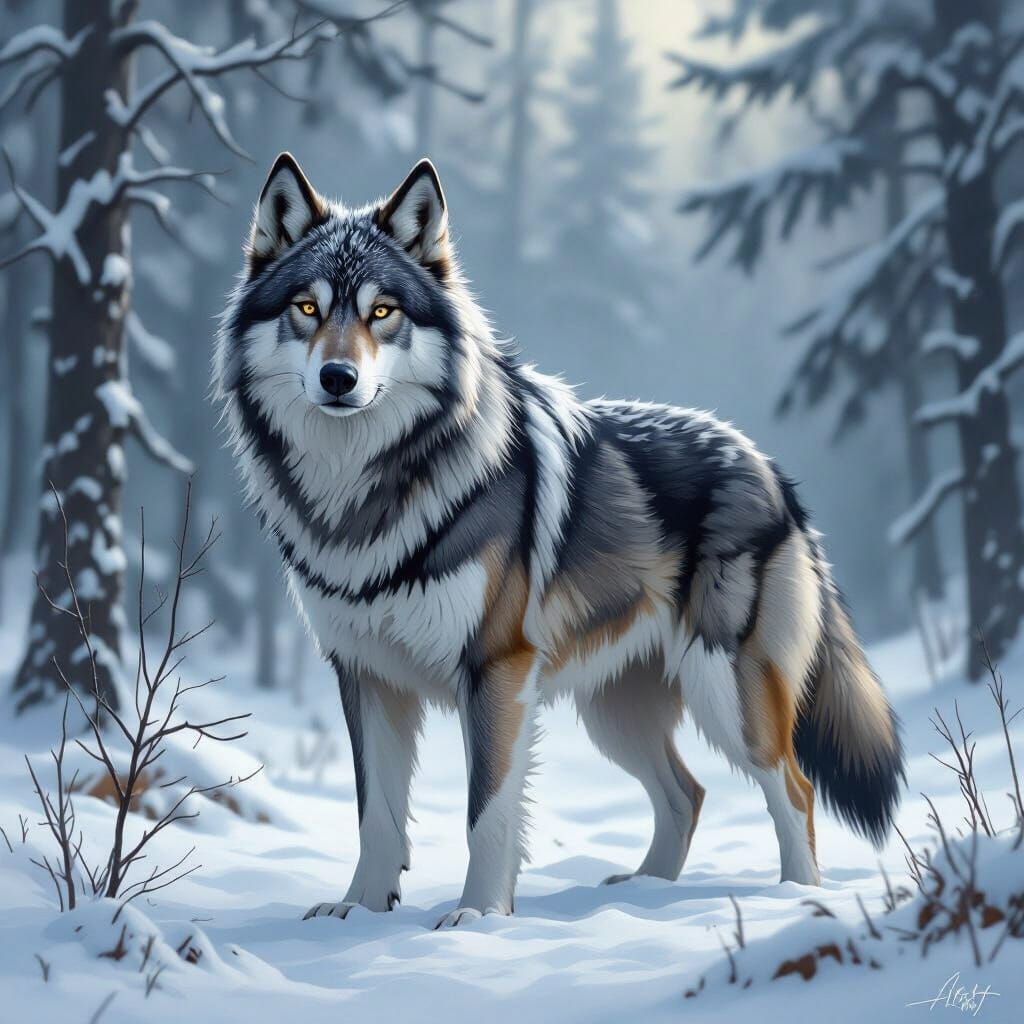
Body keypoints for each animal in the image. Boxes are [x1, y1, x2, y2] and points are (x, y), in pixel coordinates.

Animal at [214, 153, 905, 927]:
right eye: (307, 308)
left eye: (382, 313)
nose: (339, 377)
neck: (364, 492)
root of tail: (769, 466)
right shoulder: (366, 675)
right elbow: (376, 815)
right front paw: (359, 911)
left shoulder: (496, 670)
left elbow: (486, 813)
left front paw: (478, 918)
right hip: (615, 716)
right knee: (687, 795)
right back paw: (642, 896)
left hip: (726, 693)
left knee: (795, 789)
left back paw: (796, 900)